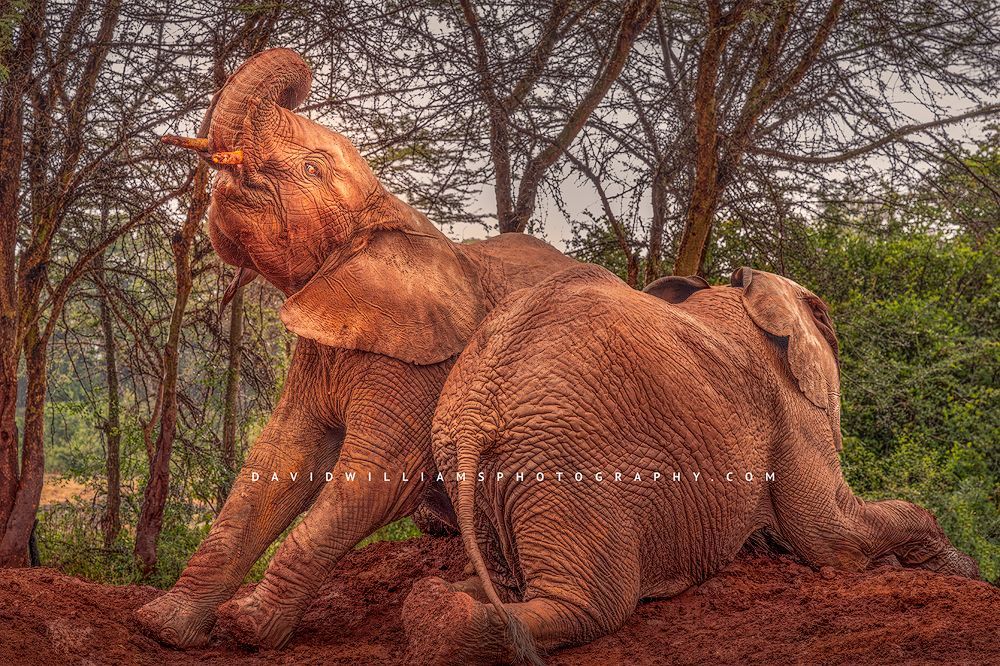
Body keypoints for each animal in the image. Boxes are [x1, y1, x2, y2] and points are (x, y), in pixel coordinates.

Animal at [134, 47, 576, 650]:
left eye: (312, 169)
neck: (386, 210)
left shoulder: (425, 362)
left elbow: (380, 473)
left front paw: (247, 627)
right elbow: (278, 460)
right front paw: (161, 627)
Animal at [402, 264, 980, 665]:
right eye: (826, 323)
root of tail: (475, 413)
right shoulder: (789, 413)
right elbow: (834, 536)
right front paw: (962, 569)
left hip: (482, 466)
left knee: (505, 585)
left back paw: (436, 604)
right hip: (565, 463)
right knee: (594, 605)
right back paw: (445, 619)